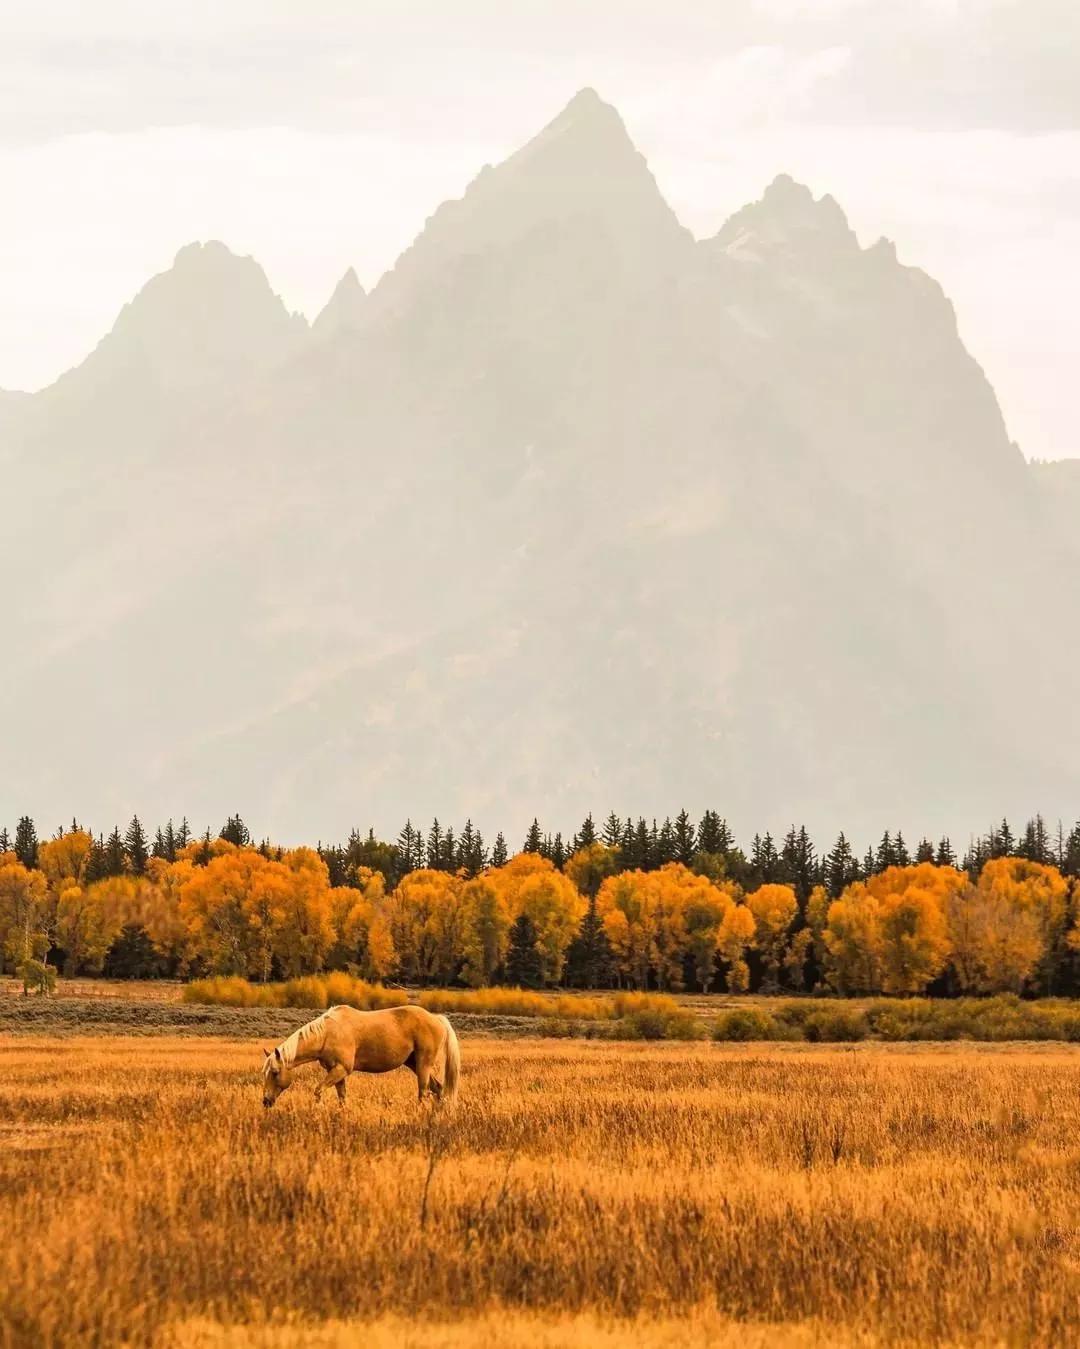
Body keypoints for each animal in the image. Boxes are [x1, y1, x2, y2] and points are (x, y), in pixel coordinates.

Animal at [266, 1003, 463, 1106]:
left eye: (275, 1072)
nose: (265, 1101)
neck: (327, 1033)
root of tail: (436, 1018)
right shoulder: (336, 1071)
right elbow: (342, 1097)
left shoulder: (341, 1069)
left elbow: (318, 1090)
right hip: (414, 1064)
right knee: (437, 1089)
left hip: (423, 1064)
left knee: (423, 1092)